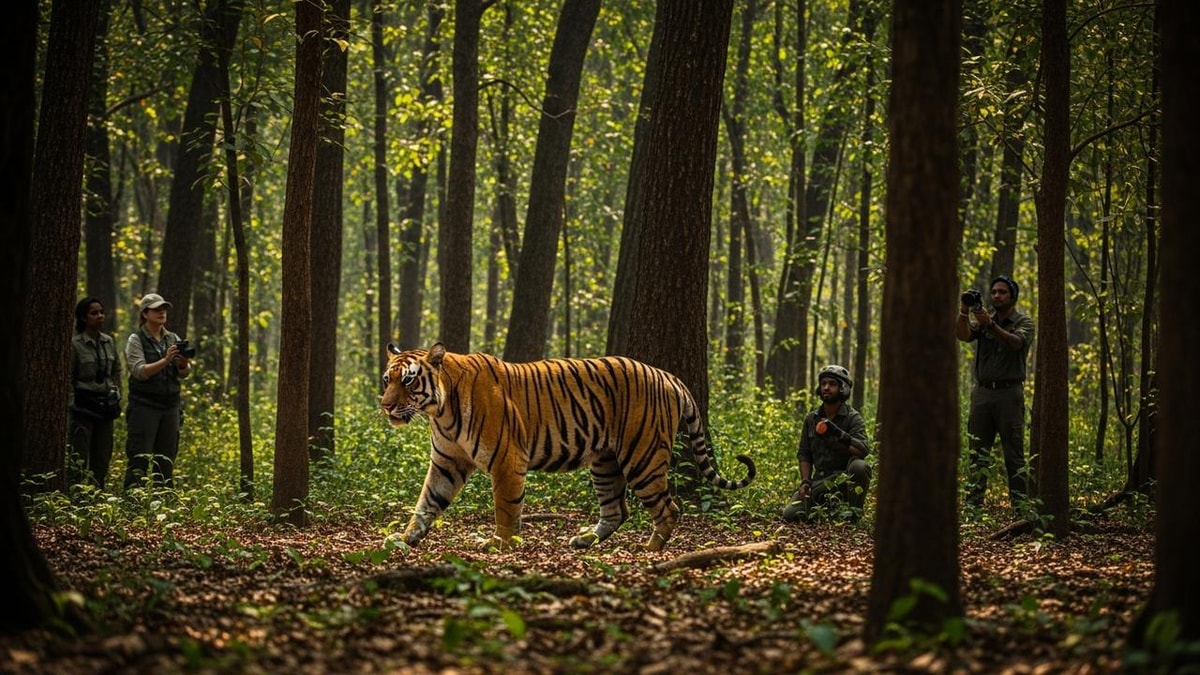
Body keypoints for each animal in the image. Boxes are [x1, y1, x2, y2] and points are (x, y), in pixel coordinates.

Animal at [380, 342, 756, 552]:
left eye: (409, 380)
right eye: (388, 379)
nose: (385, 405)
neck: (440, 412)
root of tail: (668, 375)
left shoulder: (507, 460)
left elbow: (506, 508)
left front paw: (500, 544)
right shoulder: (447, 462)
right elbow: (426, 502)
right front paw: (406, 537)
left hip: (642, 457)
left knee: (668, 507)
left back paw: (650, 549)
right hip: (605, 462)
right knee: (617, 510)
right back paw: (585, 540)